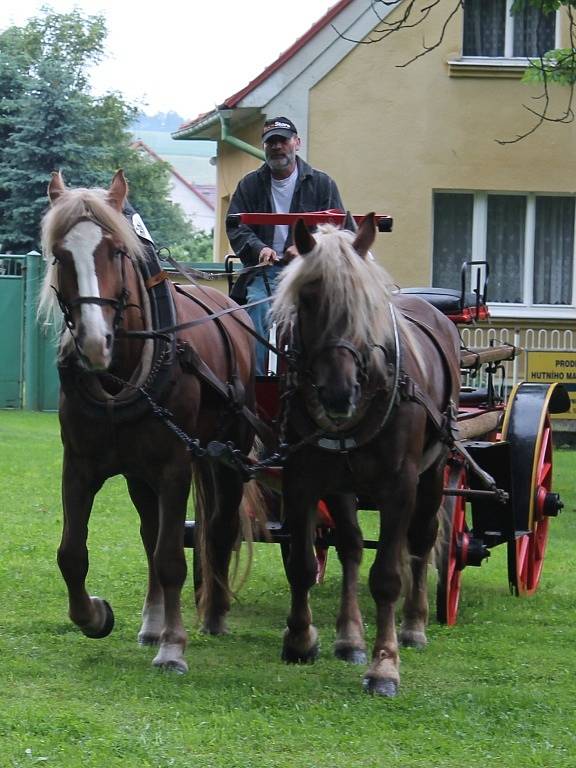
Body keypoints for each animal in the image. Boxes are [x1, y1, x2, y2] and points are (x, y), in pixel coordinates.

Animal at [39, 170, 255, 672]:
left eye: (117, 251)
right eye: (60, 254)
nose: (94, 342)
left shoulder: (175, 467)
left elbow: (172, 556)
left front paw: (174, 646)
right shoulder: (78, 466)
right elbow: (71, 554)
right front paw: (95, 615)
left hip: (229, 454)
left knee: (218, 529)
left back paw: (213, 614)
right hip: (140, 474)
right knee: (149, 532)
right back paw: (153, 622)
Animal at [268, 216, 462, 696]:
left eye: (365, 305)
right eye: (307, 300)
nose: (339, 395)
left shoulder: (400, 486)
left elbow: (388, 576)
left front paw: (384, 665)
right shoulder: (302, 478)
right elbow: (303, 564)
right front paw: (302, 640)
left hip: (433, 474)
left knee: (422, 541)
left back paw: (413, 627)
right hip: (343, 484)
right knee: (352, 546)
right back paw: (349, 637)